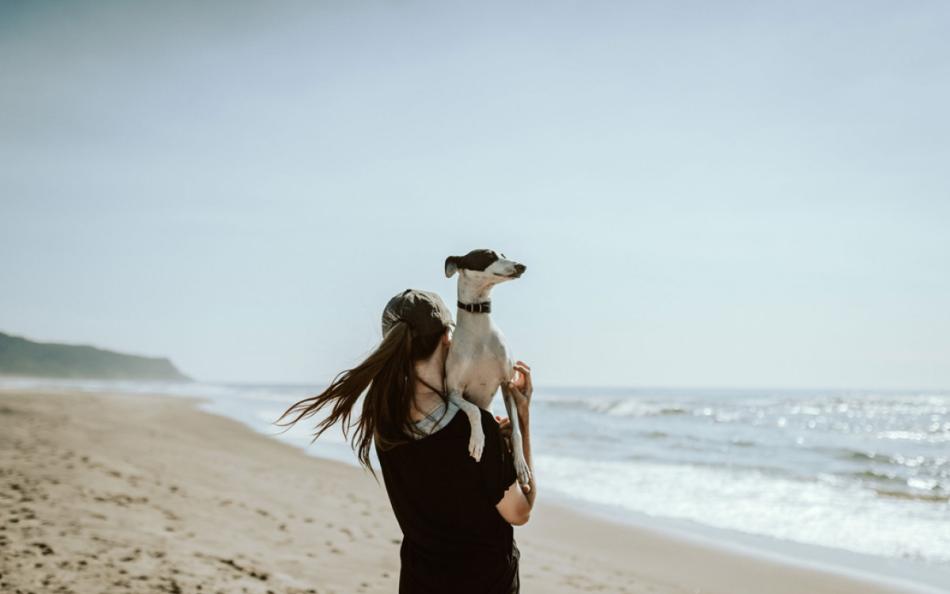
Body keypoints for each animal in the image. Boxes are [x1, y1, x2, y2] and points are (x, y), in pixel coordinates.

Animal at [444, 247, 532, 484]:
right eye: (488, 255)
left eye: (504, 255)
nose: (522, 266)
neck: (479, 331)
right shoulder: (453, 392)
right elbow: (474, 410)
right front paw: (478, 441)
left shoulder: (507, 384)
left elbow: (516, 432)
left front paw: (521, 466)